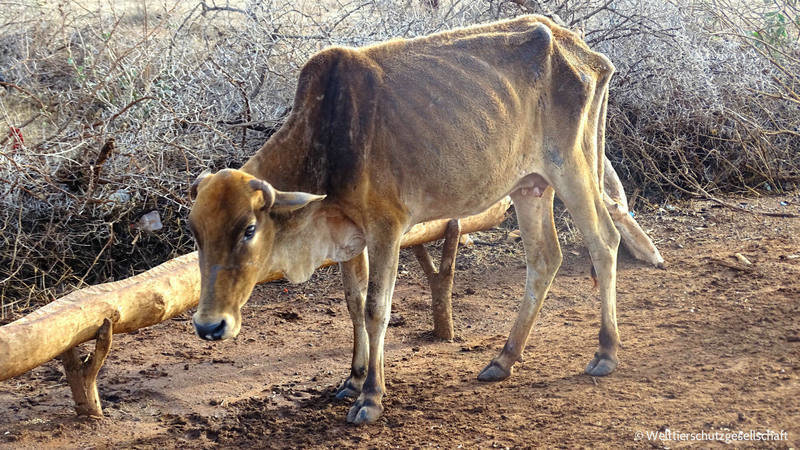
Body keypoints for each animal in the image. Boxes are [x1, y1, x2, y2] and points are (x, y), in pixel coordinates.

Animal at [187, 15, 662, 425]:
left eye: (249, 229)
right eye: (197, 234)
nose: (210, 326)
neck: (330, 133)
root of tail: (583, 52)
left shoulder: (387, 229)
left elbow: (377, 308)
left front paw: (371, 397)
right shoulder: (349, 235)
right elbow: (353, 302)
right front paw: (353, 379)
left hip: (572, 167)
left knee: (603, 242)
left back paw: (605, 353)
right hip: (530, 185)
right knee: (545, 258)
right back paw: (503, 358)